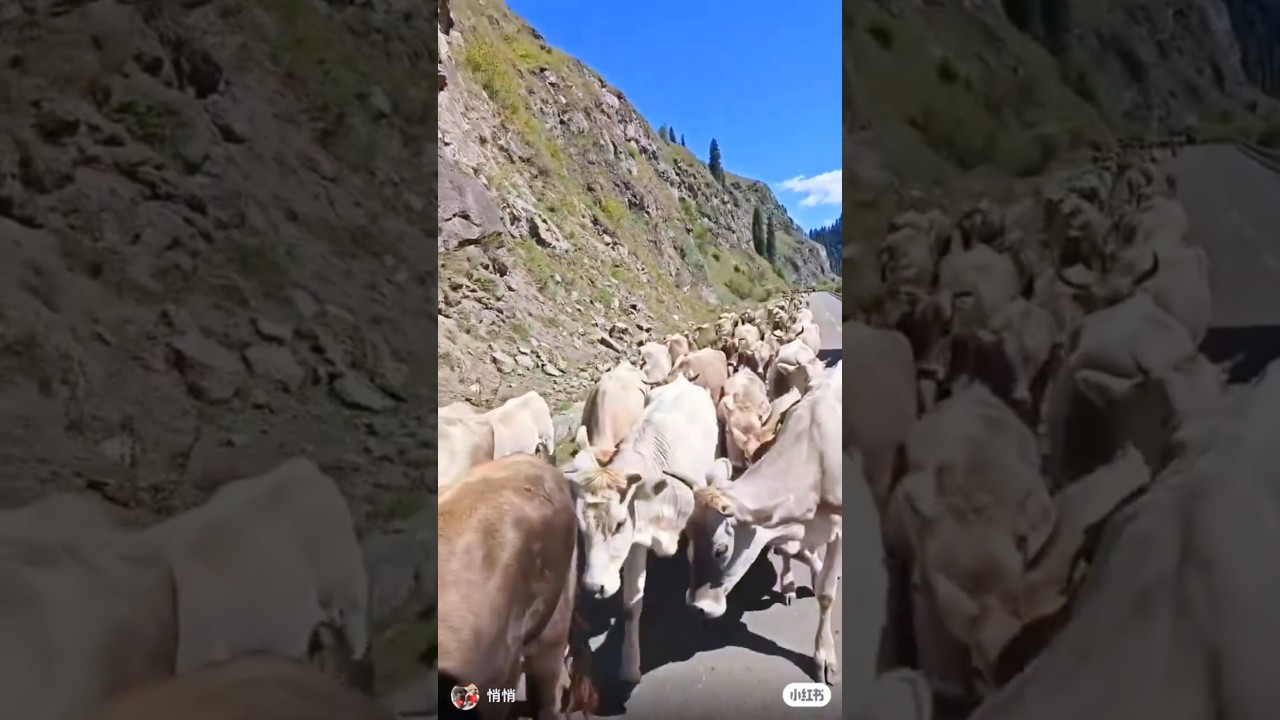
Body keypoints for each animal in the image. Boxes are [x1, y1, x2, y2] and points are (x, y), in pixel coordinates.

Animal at [566, 375, 719, 683]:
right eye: (581, 525)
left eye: (619, 523)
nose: (594, 587)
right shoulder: (636, 541)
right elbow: (630, 605)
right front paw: (629, 668)